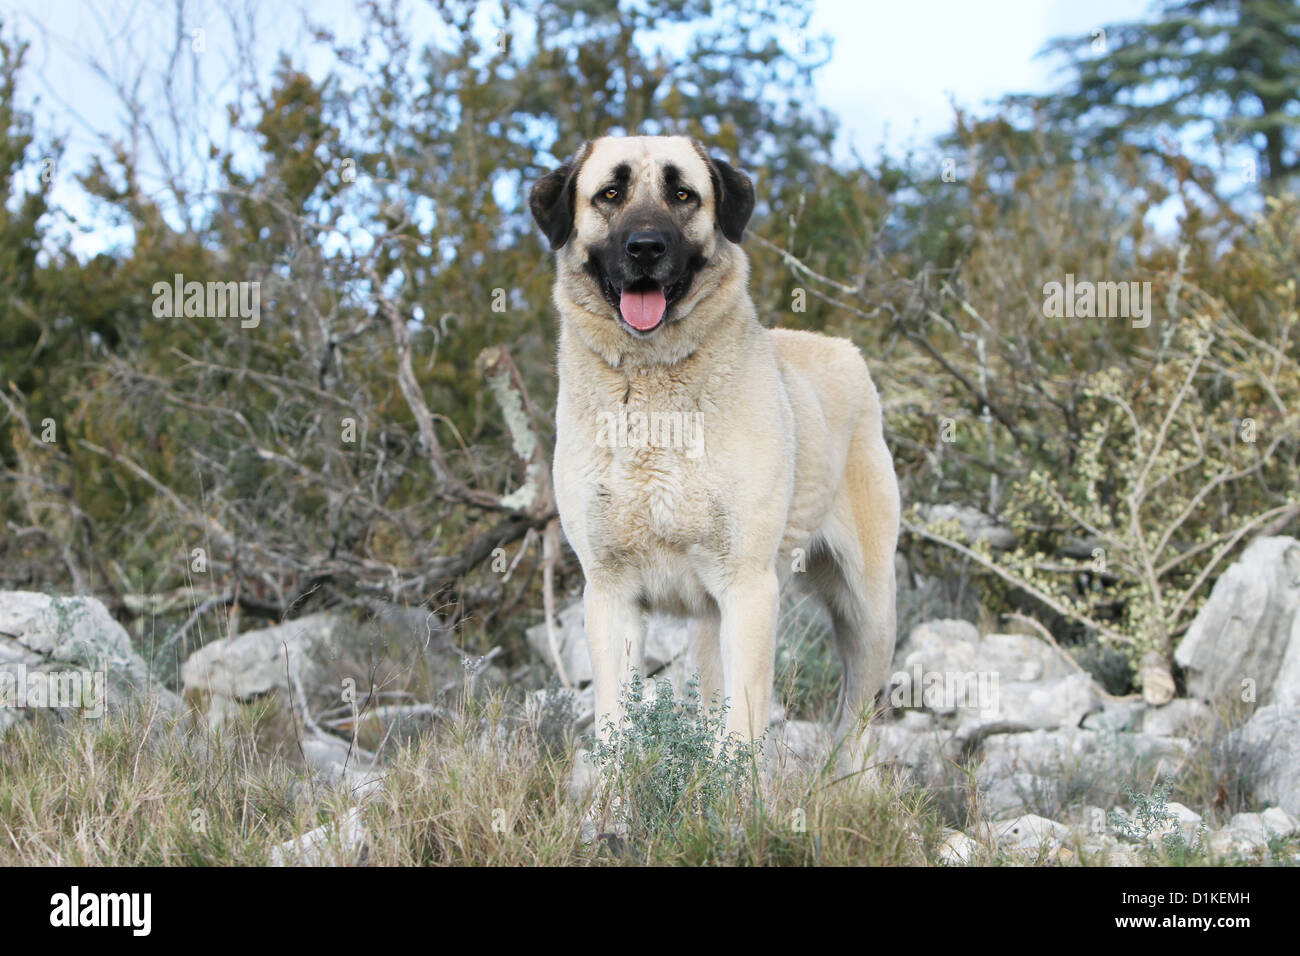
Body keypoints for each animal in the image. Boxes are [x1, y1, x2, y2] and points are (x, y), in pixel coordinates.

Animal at [533, 134, 899, 749]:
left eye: (684, 194)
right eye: (610, 194)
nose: (646, 248)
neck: (653, 391)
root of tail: (845, 349)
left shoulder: (748, 590)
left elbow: (742, 732)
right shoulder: (610, 594)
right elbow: (615, 729)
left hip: (869, 614)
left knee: (855, 725)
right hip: (709, 624)